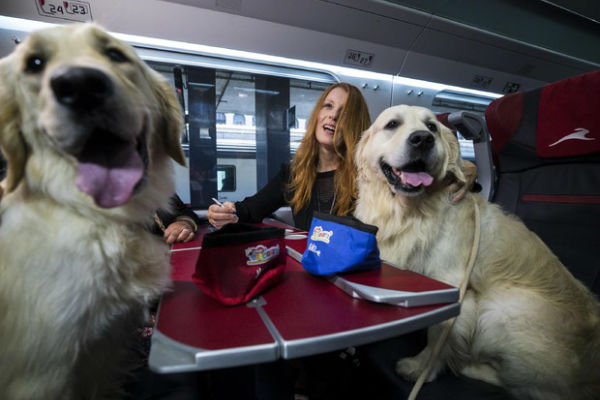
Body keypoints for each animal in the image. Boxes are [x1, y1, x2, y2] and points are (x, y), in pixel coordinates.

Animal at [354, 104, 600, 398]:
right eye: (392, 124)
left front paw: (421, 367)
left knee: (531, 388)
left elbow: (439, 334)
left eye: (432, 127)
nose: (422, 139)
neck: (409, 210)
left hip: (499, 308)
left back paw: (470, 366)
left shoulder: (454, 285)